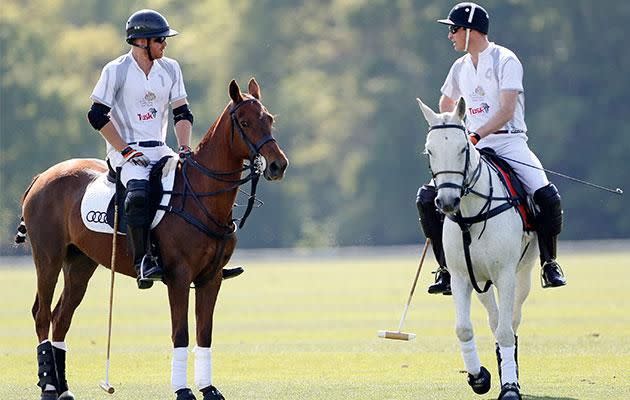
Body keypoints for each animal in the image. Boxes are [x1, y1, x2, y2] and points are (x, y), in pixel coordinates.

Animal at [16, 78, 288, 400]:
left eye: (269, 119)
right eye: (245, 122)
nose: (278, 165)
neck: (201, 196)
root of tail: (41, 177)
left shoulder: (211, 278)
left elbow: (204, 333)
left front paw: (209, 389)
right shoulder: (179, 276)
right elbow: (180, 333)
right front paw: (183, 391)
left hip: (81, 262)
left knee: (61, 318)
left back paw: (64, 390)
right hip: (49, 255)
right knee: (42, 314)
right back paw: (48, 388)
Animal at [418, 97, 540, 400]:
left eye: (463, 148)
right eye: (429, 151)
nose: (447, 202)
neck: (471, 216)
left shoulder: (505, 275)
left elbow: (507, 332)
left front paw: (510, 388)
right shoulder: (462, 276)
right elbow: (464, 329)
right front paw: (479, 377)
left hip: (523, 272)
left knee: (511, 322)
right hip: (481, 281)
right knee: (495, 320)